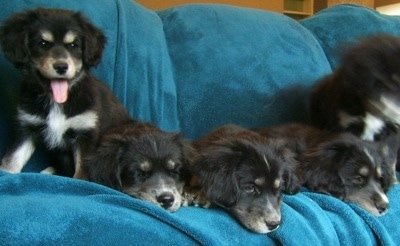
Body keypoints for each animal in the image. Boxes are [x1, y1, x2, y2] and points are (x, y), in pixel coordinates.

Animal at [0, 8, 132, 179]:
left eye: (73, 45)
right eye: (42, 43)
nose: (61, 67)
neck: (57, 102)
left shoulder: (86, 133)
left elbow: (82, 172)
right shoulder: (26, 127)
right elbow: (13, 158)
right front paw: (6, 173)